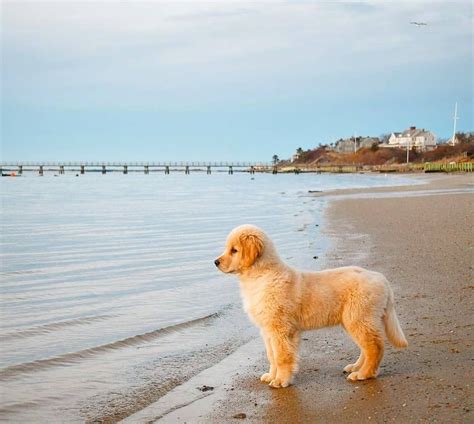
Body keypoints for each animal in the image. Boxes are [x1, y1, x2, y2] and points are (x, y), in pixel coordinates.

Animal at [215, 225, 408, 388]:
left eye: (234, 250)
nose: (215, 262)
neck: (261, 276)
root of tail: (381, 278)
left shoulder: (280, 330)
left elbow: (281, 357)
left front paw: (281, 381)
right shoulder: (267, 330)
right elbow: (272, 356)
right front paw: (272, 376)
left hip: (359, 318)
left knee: (375, 347)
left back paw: (363, 374)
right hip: (353, 321)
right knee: (367, 347)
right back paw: (356, 367)